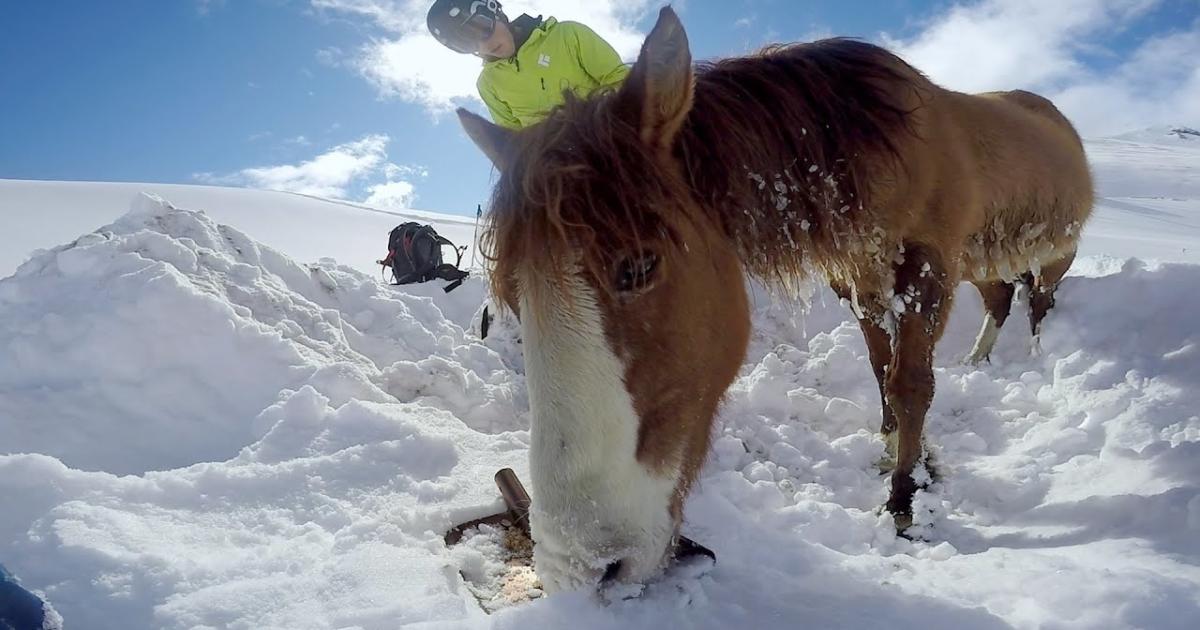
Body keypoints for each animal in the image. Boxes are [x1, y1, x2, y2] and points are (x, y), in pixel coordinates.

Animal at [457, 7, 1093, 592]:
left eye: (638, 267)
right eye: (513, 296)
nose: (583, 567)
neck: (867, 144)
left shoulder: (925, 269)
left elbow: (911, 384)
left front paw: (904, 501)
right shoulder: (859, 275)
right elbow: (880, 367)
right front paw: (893, 447)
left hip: (1050, 254)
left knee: (1038, 304)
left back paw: (1034, 358)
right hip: (984, 261)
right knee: (1001, 297)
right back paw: (979, 357)